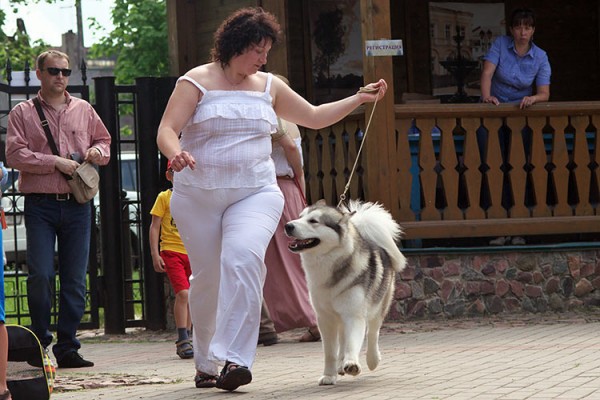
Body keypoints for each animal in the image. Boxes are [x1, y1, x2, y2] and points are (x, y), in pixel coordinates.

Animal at [284, 199, 406, 384]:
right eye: (300, 217)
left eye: (313, 221)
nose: (288, 225)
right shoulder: (325, 319)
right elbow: (330, 352)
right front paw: (329, 375)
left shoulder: (354, 315)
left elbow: (352, 343)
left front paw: (352, 364)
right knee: (342, 338)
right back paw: (340, 365)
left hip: (378, 306)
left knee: (373, 333)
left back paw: (372, 359)